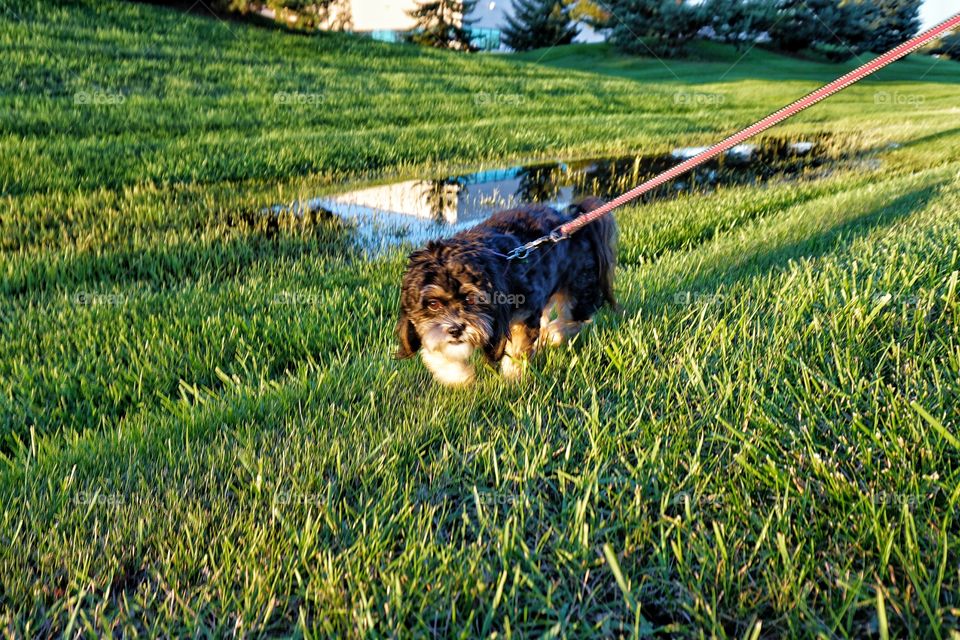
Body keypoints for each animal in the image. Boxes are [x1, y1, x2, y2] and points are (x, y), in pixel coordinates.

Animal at [396, 196, 616, 384]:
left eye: (471, 300)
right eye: (433, 304)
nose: (455, 329)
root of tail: (572, 220)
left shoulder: (524, 313)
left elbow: (517, 348)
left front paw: (512, 379)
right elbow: (435, 351)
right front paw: (458, 377)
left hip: (578, 289)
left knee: (577, 318)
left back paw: (551, 334)